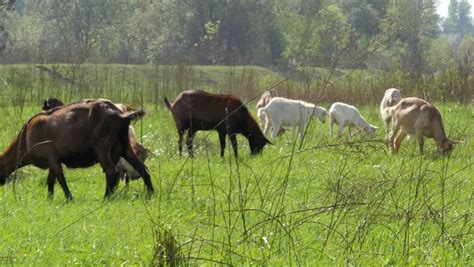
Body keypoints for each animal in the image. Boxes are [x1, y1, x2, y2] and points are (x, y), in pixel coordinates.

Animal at [0, 99, 155, 200]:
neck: (26, 137)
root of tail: (120, 114)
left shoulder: (51, 157)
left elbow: (60, 179)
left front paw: (69, 198)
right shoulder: (53, 159)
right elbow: (50, 180)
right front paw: (49, 199)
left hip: (101, 146)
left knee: (112, 173)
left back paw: (106, 198)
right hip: (124, 146)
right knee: (142, 168)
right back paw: (150, 194)